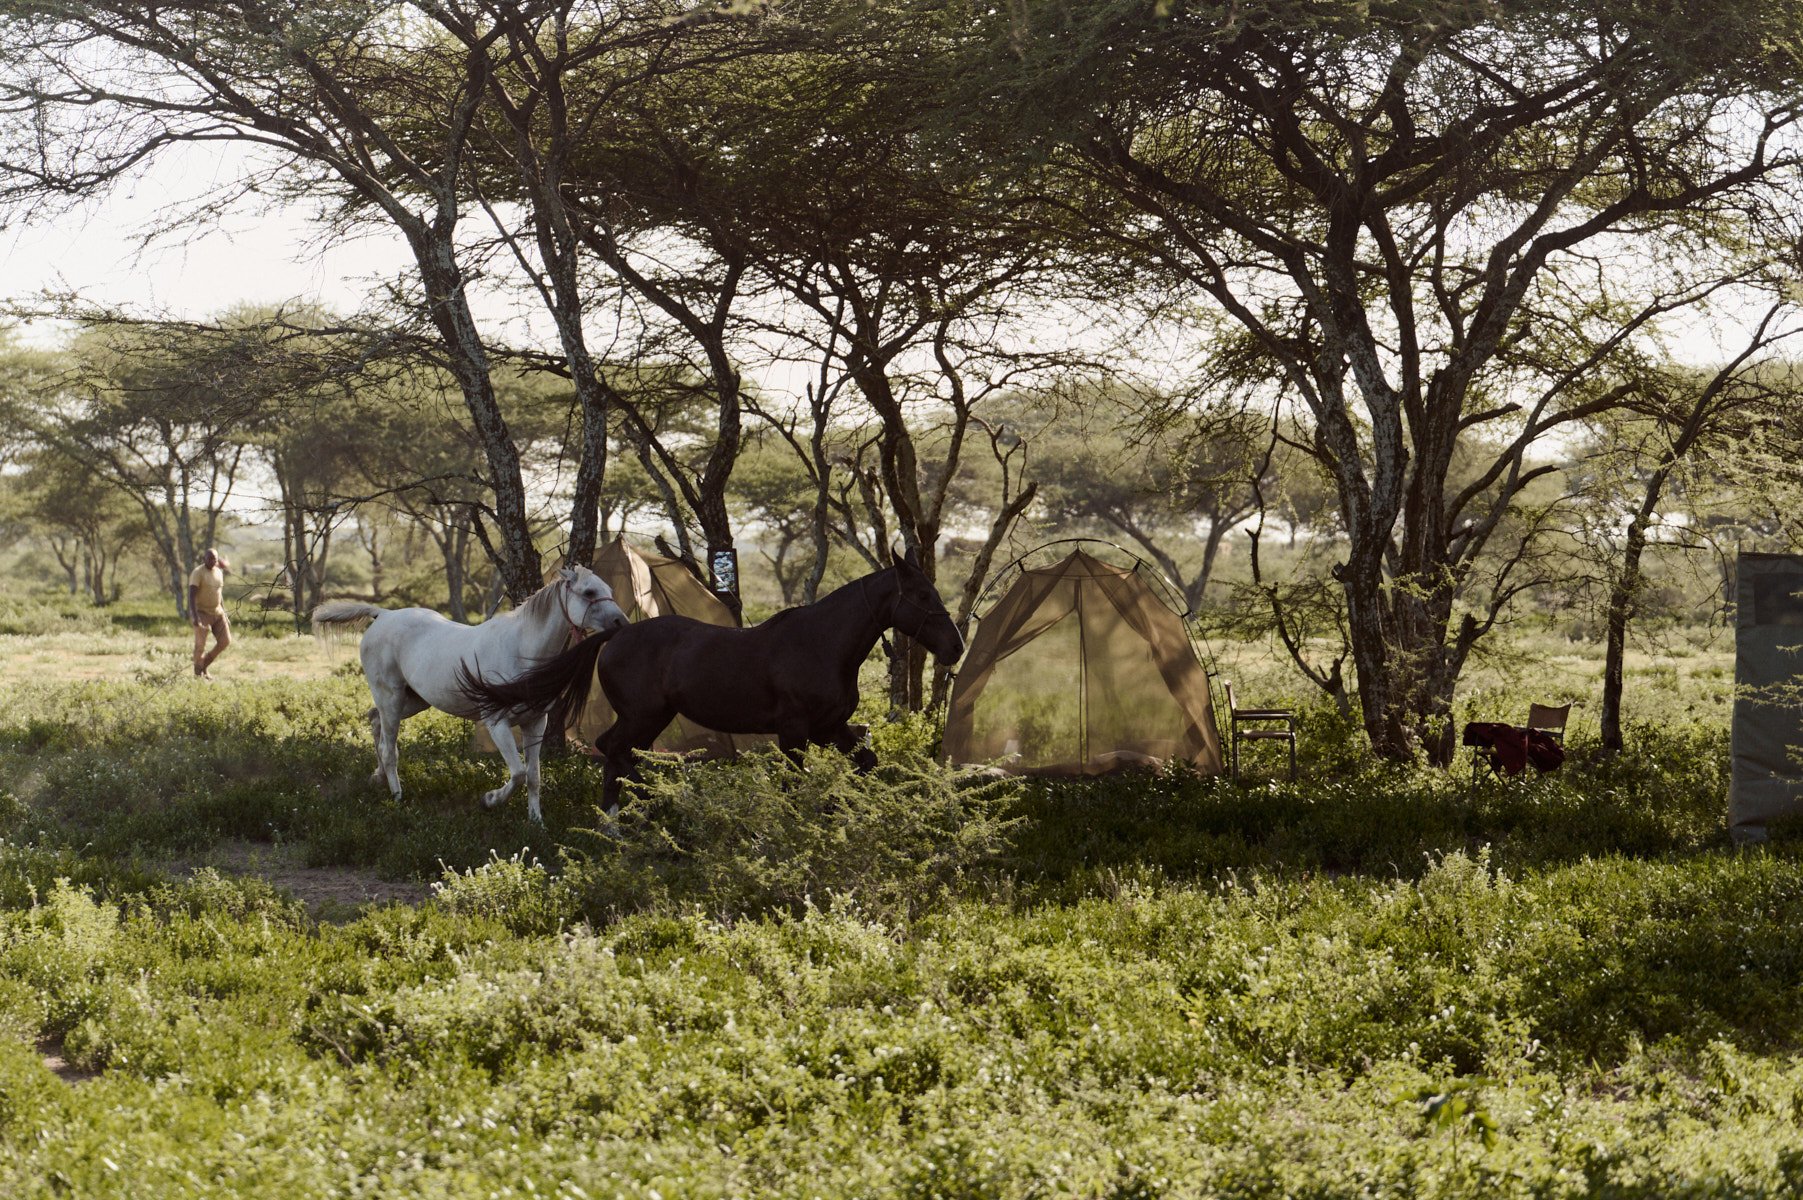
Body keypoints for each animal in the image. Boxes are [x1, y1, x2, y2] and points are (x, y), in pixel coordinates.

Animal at [310, 565, 629, 823]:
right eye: (589, 592)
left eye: (609, 589)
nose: (621, 624)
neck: (521, 650)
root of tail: (383, 614)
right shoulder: (497, 723)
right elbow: (518, 773)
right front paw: (489, 800)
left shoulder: (535, 723)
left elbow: (534, 777)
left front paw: (536, 822)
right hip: (391, 698)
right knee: (390, 748)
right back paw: (397, 796)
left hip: (413, 701)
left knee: (374, 721)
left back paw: (377, 777)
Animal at [457, 550, 964, 815]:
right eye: (922, 595)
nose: (955, 648)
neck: (821, 644)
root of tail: (617, 633)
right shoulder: (795, 733)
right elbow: (795, 782)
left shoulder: (830, 728)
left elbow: (867, 763)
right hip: (644, 714)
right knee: (613, 749)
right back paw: (634, 812)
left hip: (653, 717)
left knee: (620, 753)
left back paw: (638, 811)